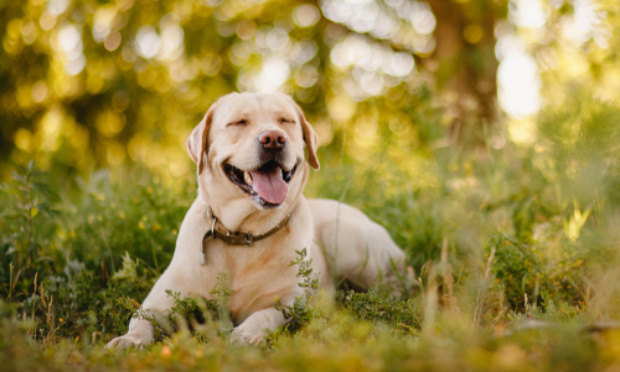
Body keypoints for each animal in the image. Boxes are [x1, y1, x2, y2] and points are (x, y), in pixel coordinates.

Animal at [106, 91, 412, 348]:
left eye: (285, 120)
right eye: (239, 122)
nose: (274, 139)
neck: (242, 234)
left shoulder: (289, 302)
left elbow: (265, 314)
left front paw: (245, 334)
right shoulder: (161, 301)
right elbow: (140, 319)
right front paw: (128, 340)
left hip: (349, 243)